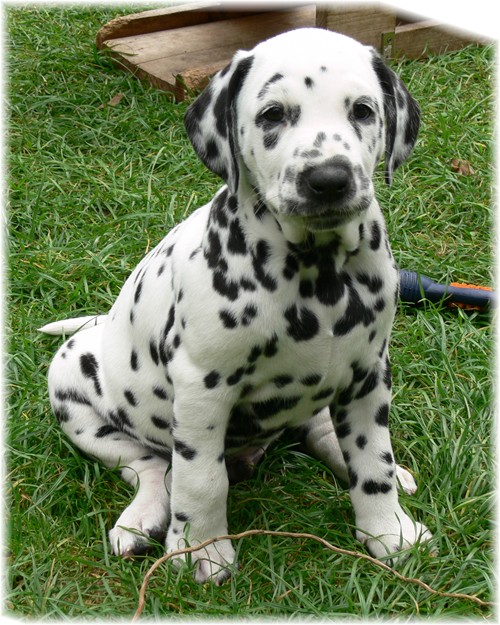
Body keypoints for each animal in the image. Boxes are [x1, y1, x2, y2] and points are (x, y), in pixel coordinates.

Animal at [41, 28, 431, 584]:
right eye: (272, 114)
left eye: (362, 110)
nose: (329, 179)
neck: (318, 273)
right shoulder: (202, 388)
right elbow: (200, 479)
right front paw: (201, 551)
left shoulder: (369, 374)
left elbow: (371, 460)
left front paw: (388, 532)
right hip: (73, 386)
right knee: (152, 467)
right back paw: (141, 520)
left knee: (325, 435)